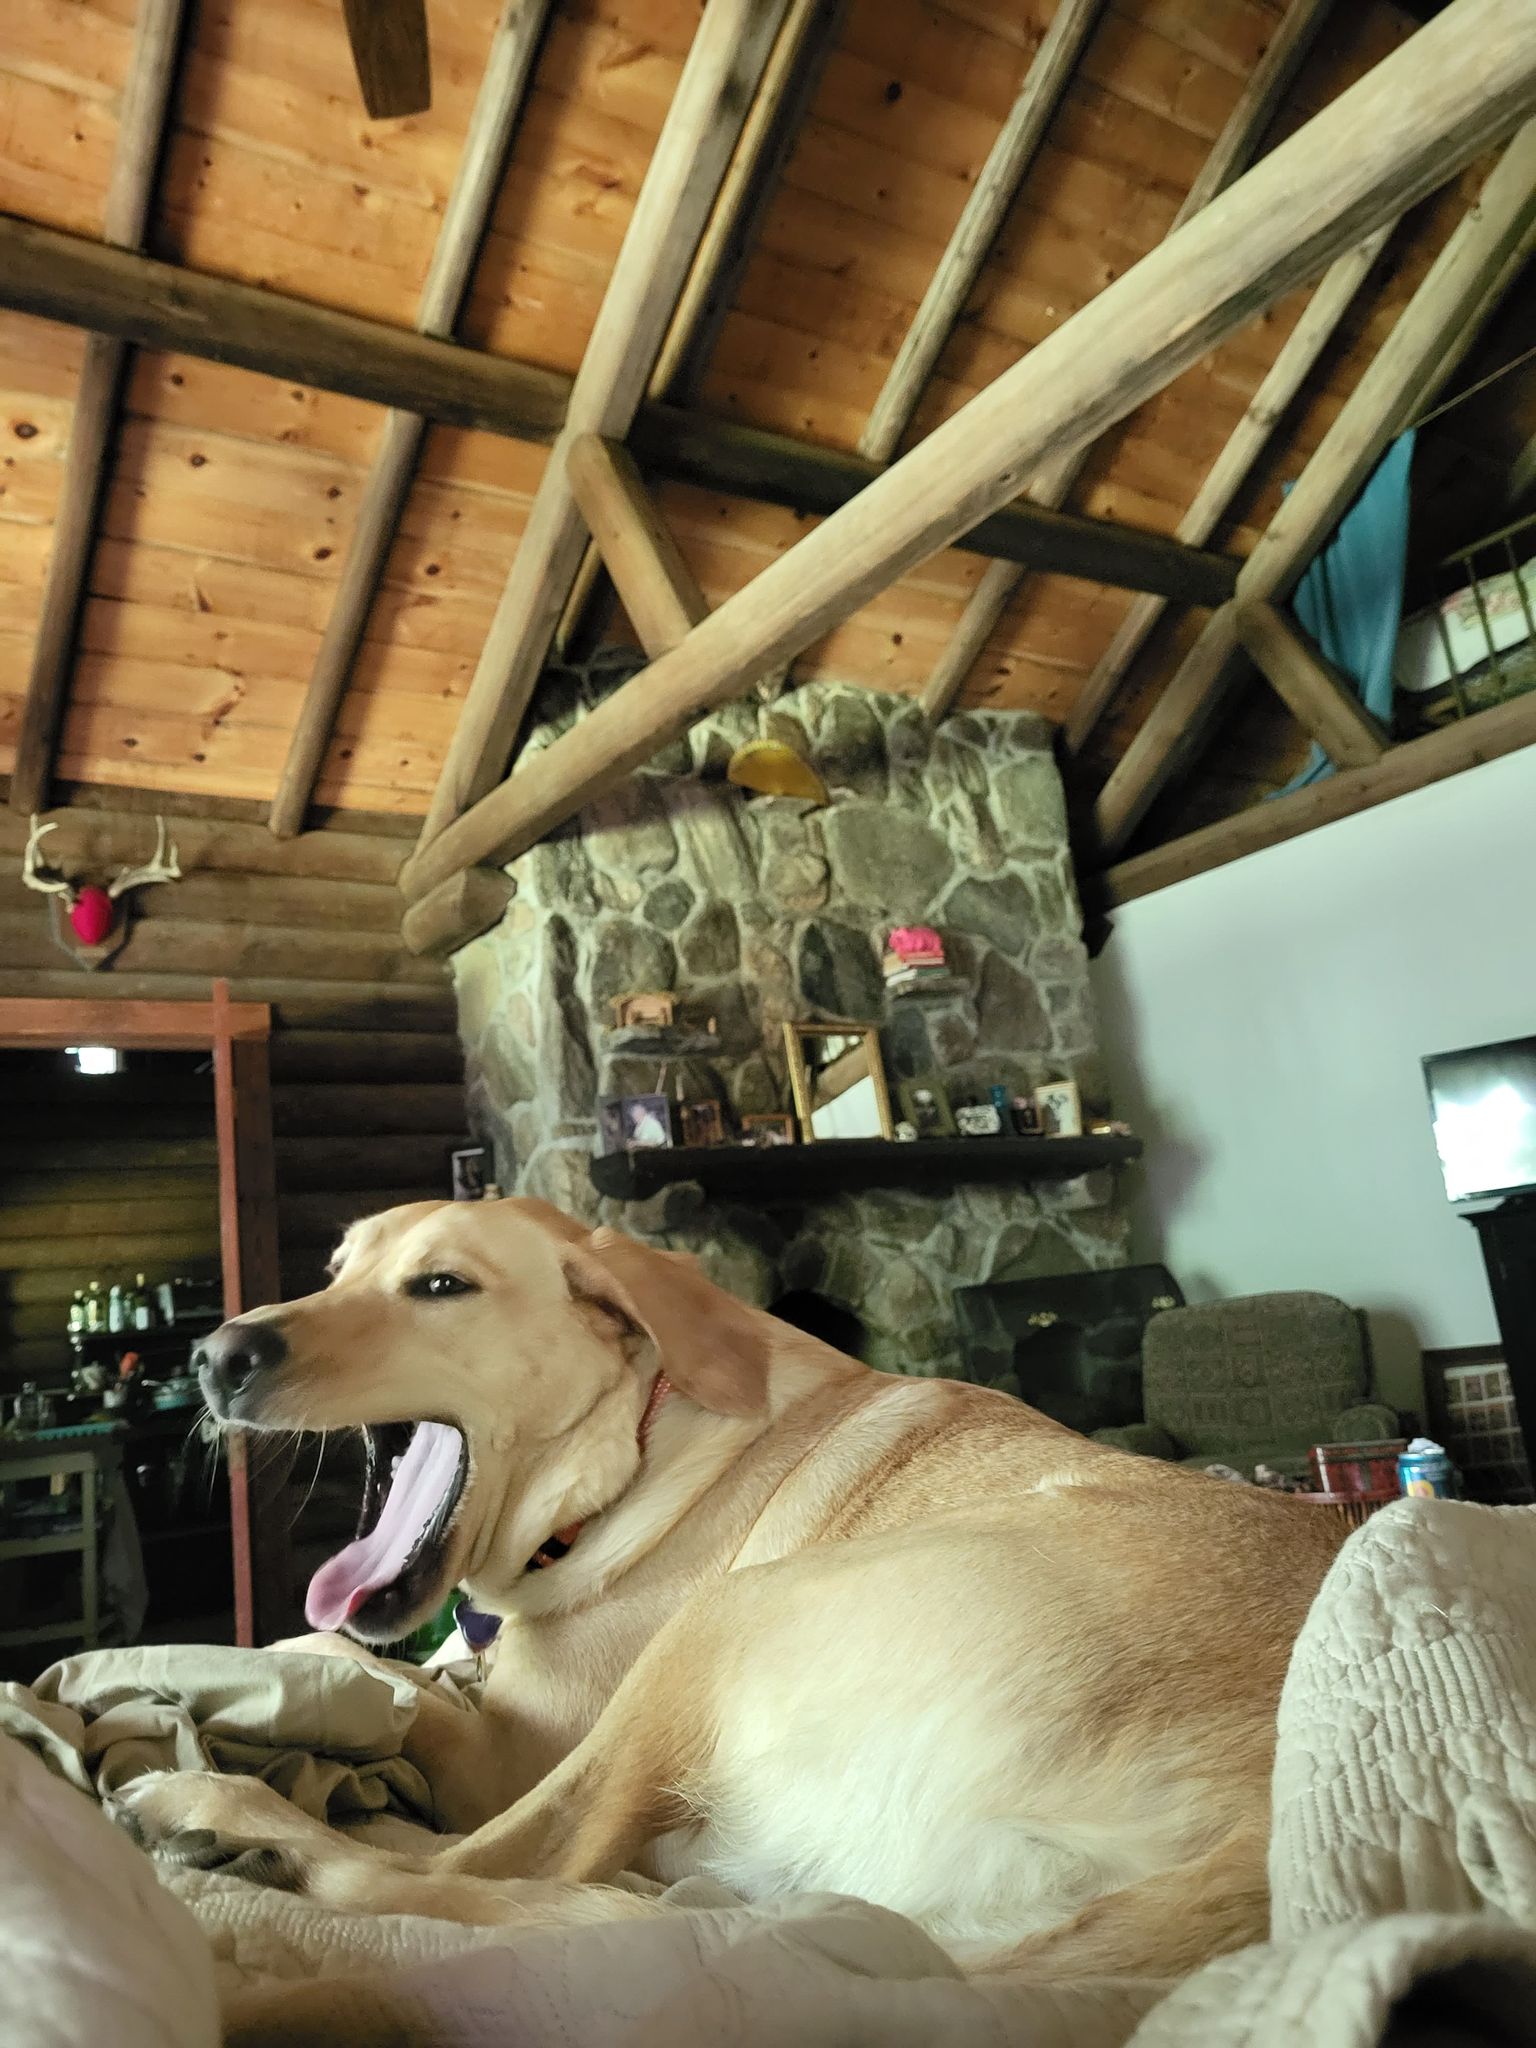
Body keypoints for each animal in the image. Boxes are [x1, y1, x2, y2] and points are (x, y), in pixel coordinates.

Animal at [116, 1196, 1345, 1991]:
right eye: (336, 1272)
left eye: (441, 1286)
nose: (215, 1356)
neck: (630, 1448)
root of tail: (1274, 1828)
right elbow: (397, 1665)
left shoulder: (517, 1745)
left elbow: (382, 1681)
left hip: (728, 1618)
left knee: (458, 1868)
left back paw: (225, 1814)